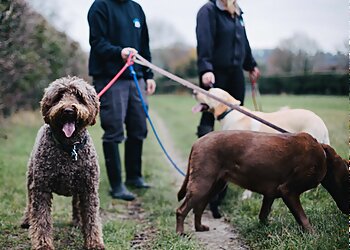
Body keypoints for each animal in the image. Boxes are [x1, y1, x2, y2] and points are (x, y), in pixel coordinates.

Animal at [20, 76, 104, 250]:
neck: (69, 147)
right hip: (31, 178)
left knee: (76, 203)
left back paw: (77, 221)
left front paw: (94, 243)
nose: (68, 111)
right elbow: (41, 220)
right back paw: (26, 219)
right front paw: (43, 245)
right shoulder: (41, 189)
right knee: (29, 201)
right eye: (59, 96)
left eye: (79, 96)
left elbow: (92, 219)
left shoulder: (89, 189)